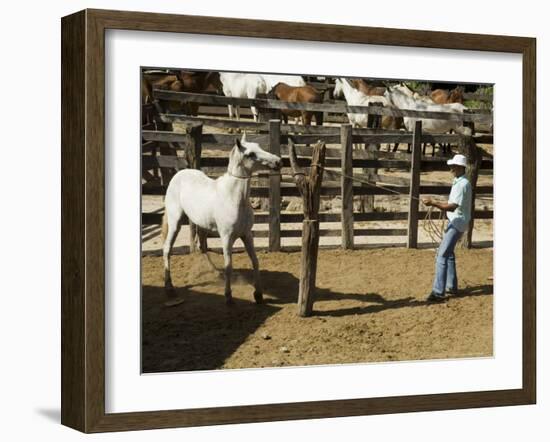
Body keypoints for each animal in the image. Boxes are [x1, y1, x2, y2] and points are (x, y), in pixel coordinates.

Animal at [160, 134, 280, 304]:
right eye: (250, 154)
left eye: (259, 146)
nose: (278, 161)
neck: (234, 198)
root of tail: (178, 175)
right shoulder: (226, 237)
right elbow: (228, 266)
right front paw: (228, 296)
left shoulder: (247, 235)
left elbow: (255, 261)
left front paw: (258, 294)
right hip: (175, 222)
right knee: (167, 249)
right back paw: (169, 288)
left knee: (201, 244)